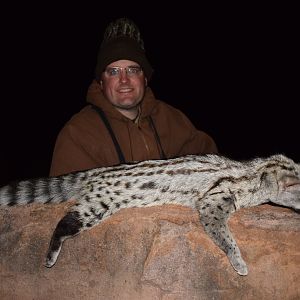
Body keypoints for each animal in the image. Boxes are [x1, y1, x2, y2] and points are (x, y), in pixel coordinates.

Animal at [0, 154, 300, 276]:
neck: (254, 173)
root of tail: (97, 172)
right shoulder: (213, 200)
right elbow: (224, 237)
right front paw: (238, 261)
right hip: (98, 204)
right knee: (64, 222)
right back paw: (51, 254)